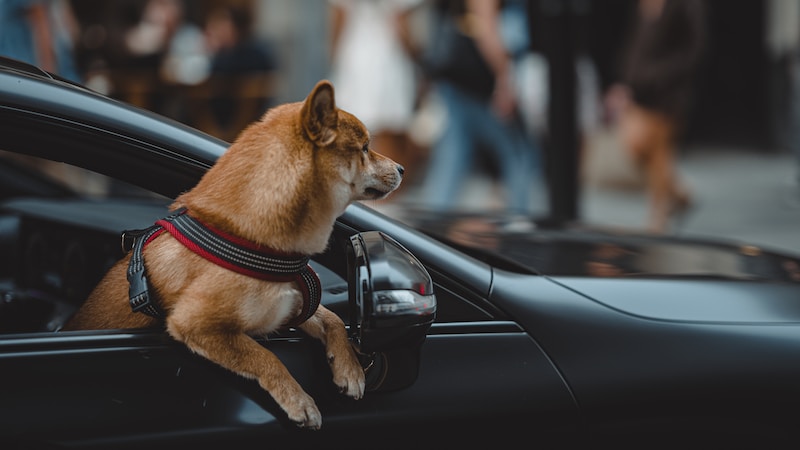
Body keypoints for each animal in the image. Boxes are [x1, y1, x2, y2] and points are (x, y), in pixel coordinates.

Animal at [61, 81, 406, 428]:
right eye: (365, 148)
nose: (402, 168)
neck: (244, 237)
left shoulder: (289, 308)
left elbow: (332, 319)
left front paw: (349, 369)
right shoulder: (197, 324)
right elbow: (264, 356)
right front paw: (299, 400)